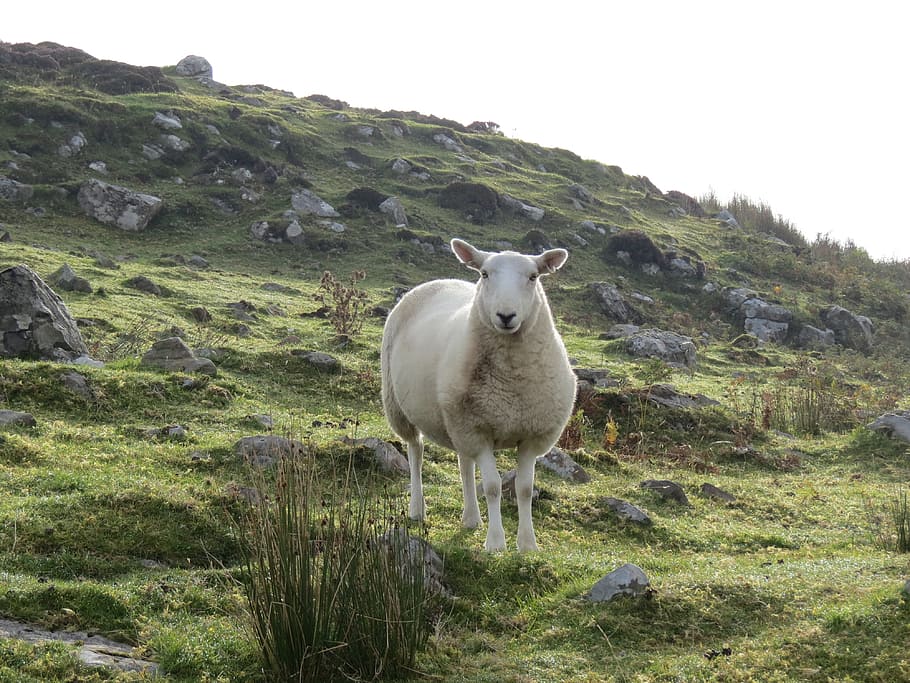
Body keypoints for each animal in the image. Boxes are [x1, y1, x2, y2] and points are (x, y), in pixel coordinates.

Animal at [380, 238, 577, 551]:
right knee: (416, 452)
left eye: (533, 277)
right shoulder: (479, 431)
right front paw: (496, 543)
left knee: (464, 465)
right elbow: (494, 487)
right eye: (485, 274)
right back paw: (417, 508)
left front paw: (527, 544)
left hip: (457, 419)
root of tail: (439, 280)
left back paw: (471, 518)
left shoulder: (530, 436)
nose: (506, 316)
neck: (512, 383)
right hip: (401, 408)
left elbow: (524, 489)